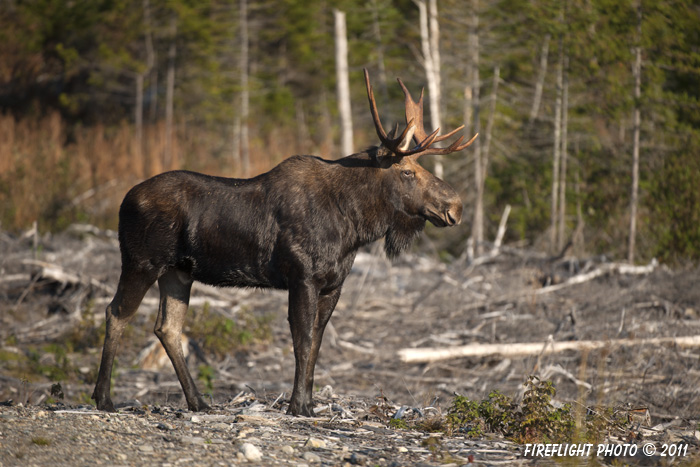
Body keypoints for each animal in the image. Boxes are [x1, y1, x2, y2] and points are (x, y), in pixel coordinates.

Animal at [91, 68, 476, 416]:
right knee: (116, 313)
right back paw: (104, 399)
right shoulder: (302, 277)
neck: (353, 226)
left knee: (167, 328)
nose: (455, 206)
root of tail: (124, 201)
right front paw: (298, 406)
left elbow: (317, 343)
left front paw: (310, 404)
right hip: (141, 262)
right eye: (407, 172)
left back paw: (198, 402)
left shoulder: (333, 285)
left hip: (178, 272)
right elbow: (302, 341)